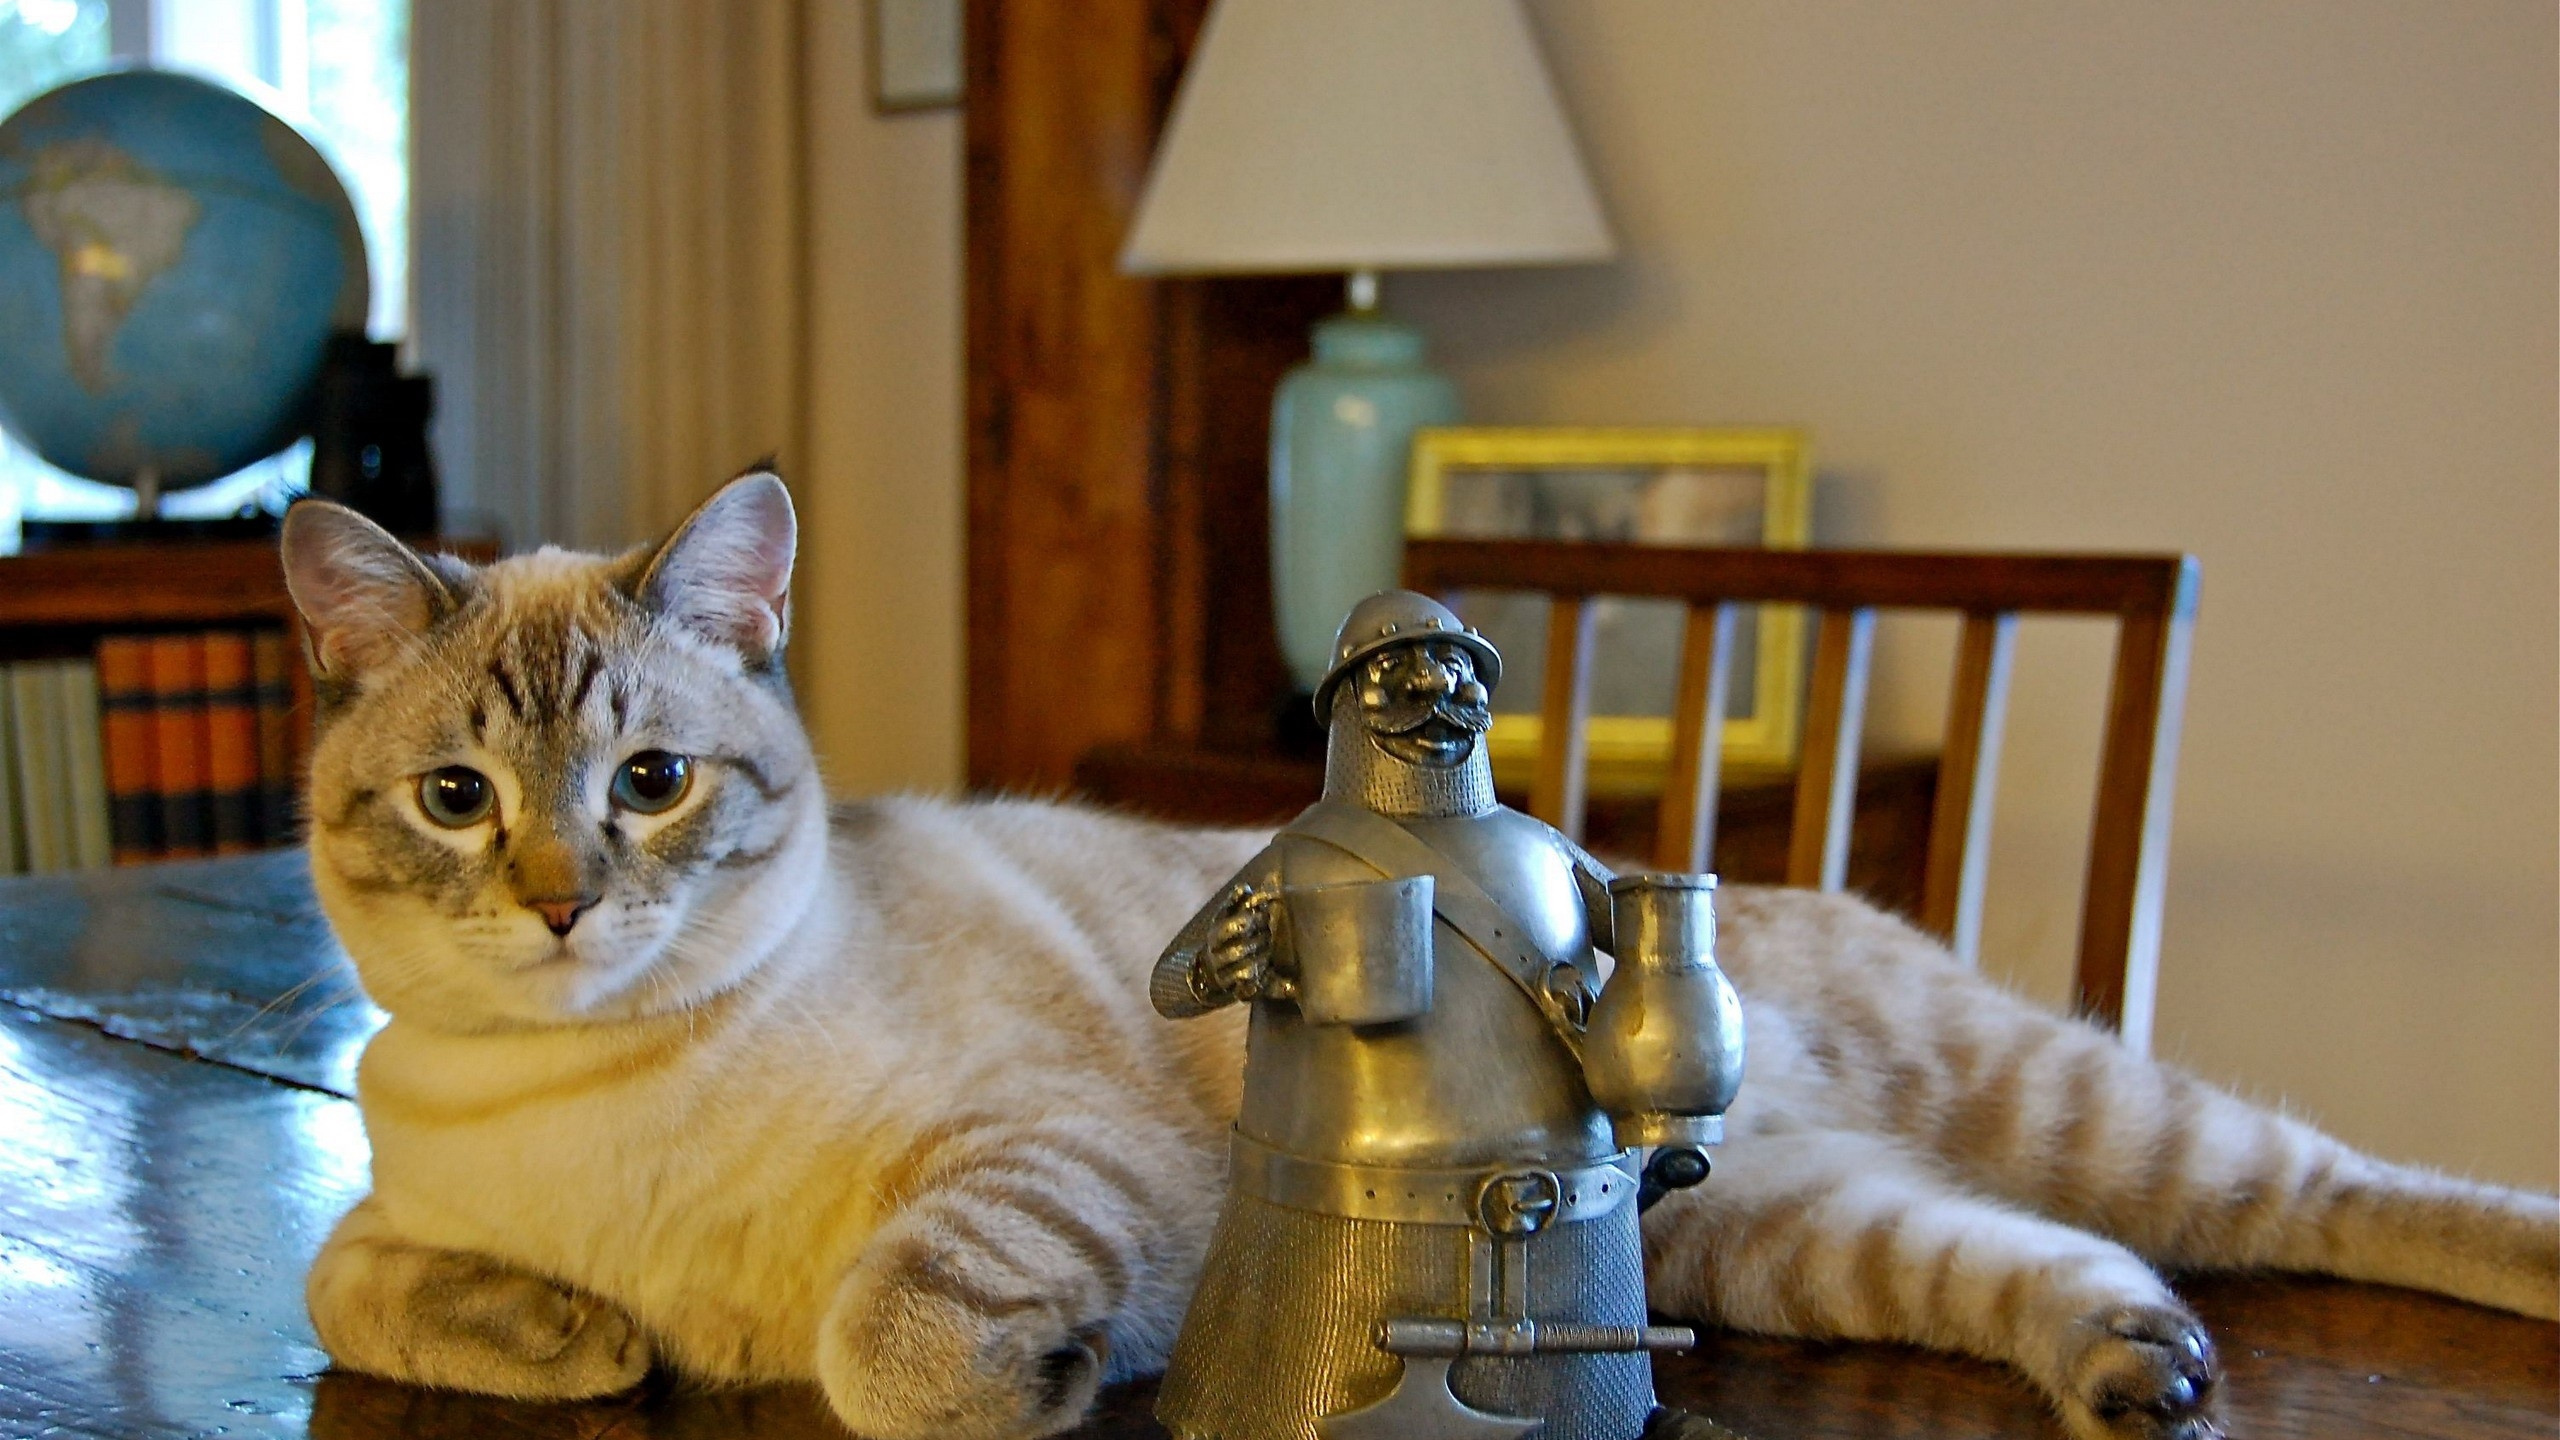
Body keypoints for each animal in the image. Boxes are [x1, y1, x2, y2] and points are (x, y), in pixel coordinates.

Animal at [290, 474, 2549, 1434]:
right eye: (462, 804)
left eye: (653, 782)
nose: (562, 902)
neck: (593, 1084)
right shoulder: (391, 1190)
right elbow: (356, 1287)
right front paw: (574, 1343)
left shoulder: (1052, 1161)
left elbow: (888, 1341)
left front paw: (1023, 1381)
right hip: (1783, 1235)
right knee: (2051, 1263)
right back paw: (2132, 1371)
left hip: (2085, 1116)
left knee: (2330, 1193)